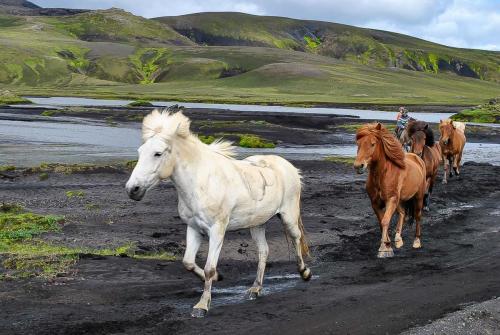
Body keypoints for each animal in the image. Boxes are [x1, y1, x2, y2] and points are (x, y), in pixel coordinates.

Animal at [125, 107, 310, 318]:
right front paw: (219, 278)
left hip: (288, 216)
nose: (133, 189)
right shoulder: (193, 228)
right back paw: (255, 289)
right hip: (257, 224)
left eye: (157, 153)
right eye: (140, 152)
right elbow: (188, 262)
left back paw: (304, 272)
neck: (202, 183)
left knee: (296, 238)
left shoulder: (217, 230)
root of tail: (288, 166)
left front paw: (202, 306)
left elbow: (209, 268)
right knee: (264, 251)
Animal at [352, 123, 426, 258]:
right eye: (358, 144)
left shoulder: (391, 200)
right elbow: (381, 222)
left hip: (418, 197)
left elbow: (385, 221)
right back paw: (398, 239)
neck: (382, 175)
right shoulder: (375, 203)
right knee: (402, 213)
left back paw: (417, 242)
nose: (358, 166)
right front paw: (388, 246)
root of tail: (417, 158)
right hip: (399, 200)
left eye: (372, 144)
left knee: (418, 215)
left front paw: (383, 249)